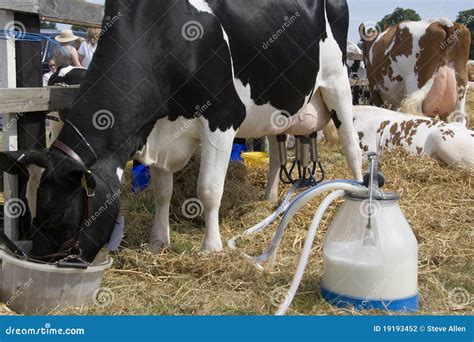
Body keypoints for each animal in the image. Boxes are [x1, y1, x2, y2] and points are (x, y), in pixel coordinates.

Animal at [0, 0, 362, 262]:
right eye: (29, 214)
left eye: (57, 217)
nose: (42, 263)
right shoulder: (159, 132)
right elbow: (163, 191)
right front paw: (158, 242)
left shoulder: (222, 117)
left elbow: (208, 190)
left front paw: (211, 247)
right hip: (280, 105)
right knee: (276, 153)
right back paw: (271, 197)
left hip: (338, 84)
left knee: (351, 146)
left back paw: (357, 190)